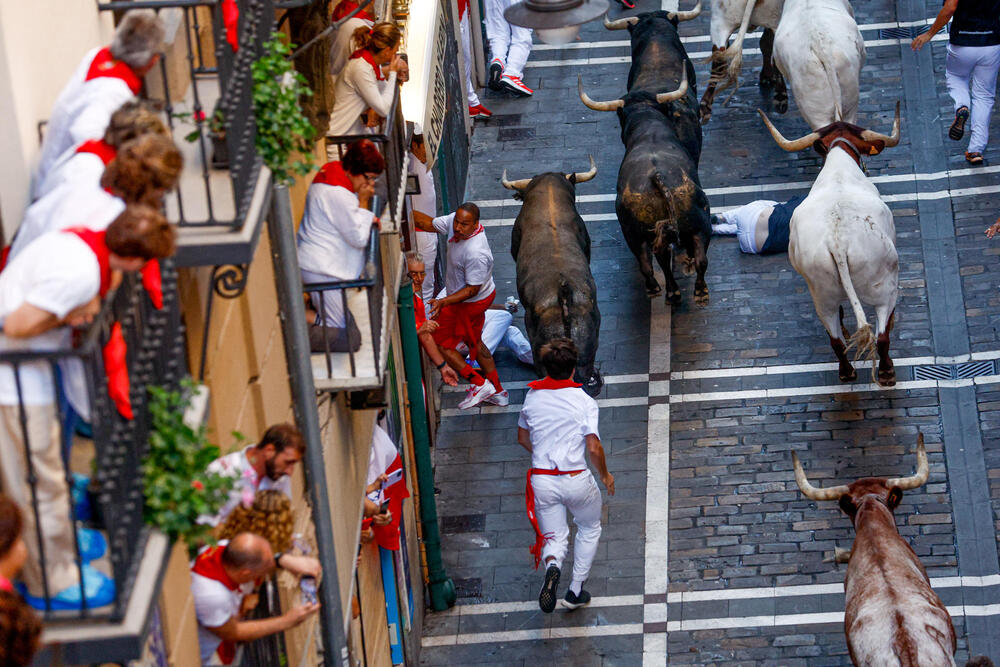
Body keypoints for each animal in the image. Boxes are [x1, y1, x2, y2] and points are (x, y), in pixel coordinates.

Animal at [760, 104, 904, 386]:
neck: (839, 168)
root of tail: (838, 242)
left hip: (821, 293)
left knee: (836, 338)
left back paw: (847, 372)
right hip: (884, 288)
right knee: (882, 334)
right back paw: (886, 372)